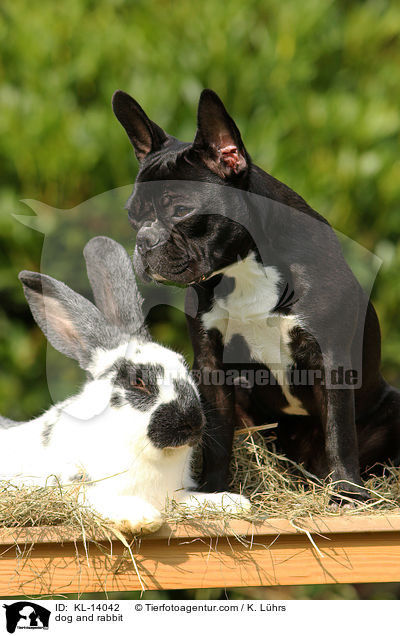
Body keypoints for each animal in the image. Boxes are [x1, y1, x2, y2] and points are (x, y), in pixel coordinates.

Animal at [0, 236, 250, 536]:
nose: (191, 422)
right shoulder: (65, 483)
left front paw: (236, 503)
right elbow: (90, 497)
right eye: (138, 382)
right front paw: (142, 517)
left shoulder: (176, 496)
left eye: (184, 365)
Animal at [111, 88, 400, 502]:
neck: (243, 269)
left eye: (181, 210)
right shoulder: (211, 365)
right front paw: (215, 492)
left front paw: (347, 493)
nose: (144, 240)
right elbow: (217, 438)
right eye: (133, 216)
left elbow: (339, 433)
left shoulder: (331, 359)